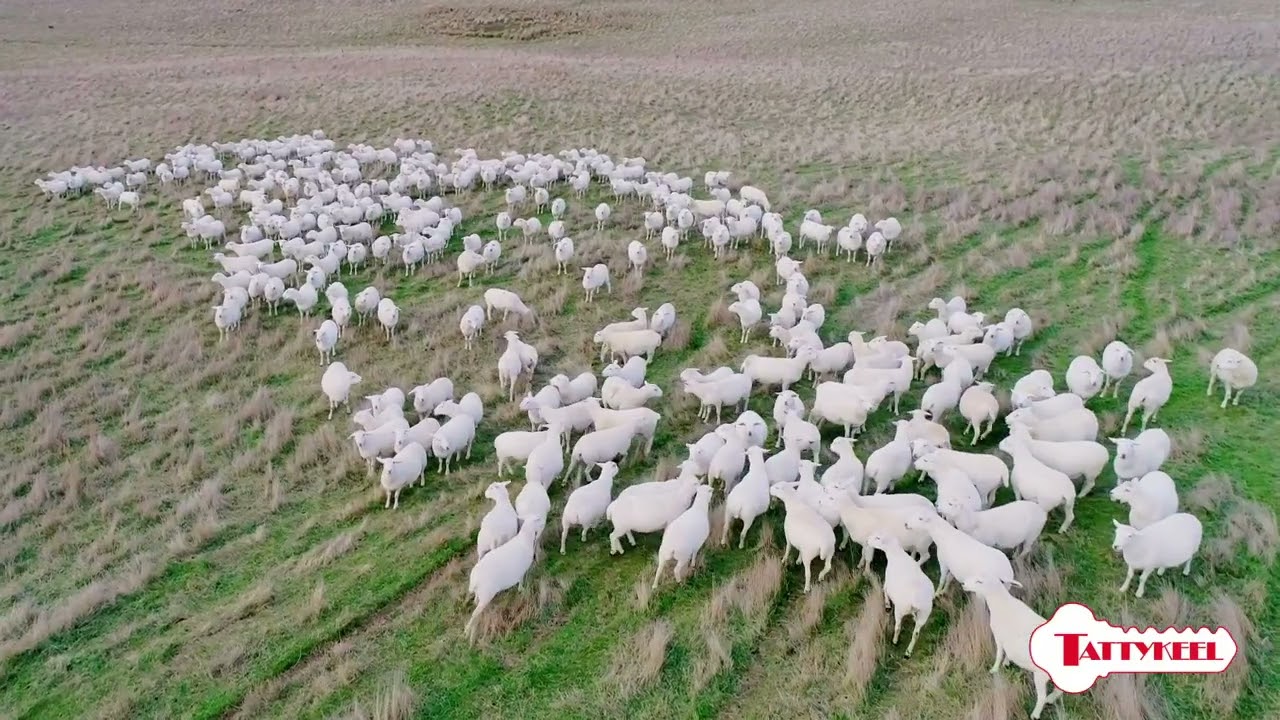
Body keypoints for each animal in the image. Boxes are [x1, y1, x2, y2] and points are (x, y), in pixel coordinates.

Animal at [959, 577, 1061, 720]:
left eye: (980, 582)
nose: (963, 584)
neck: (1001, 602)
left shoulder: (998, 637)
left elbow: (999, 654)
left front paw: (994, 669)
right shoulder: (1008, 640)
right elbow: (1007, 652)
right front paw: (1007, 662)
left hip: (1041, 675)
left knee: (1042, 696)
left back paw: (1035, 714)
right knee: (1059, 690)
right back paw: (1051, 699)